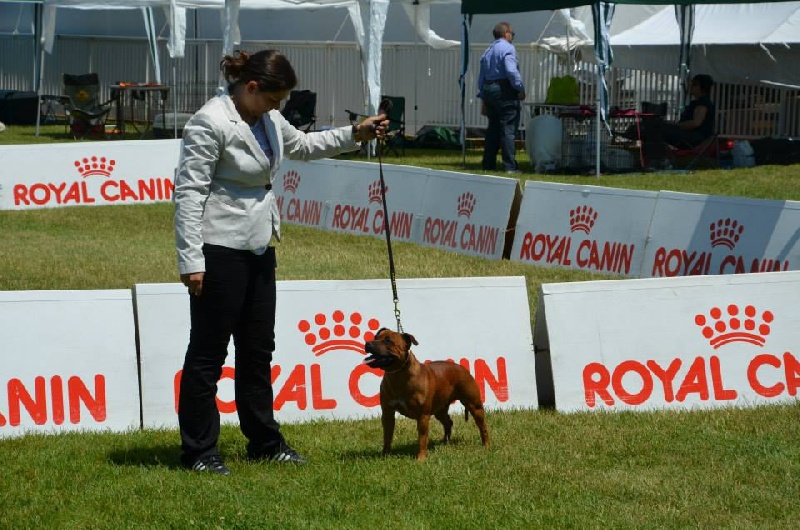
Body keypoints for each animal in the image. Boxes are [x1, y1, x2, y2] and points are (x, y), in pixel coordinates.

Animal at [363, 328, 490, 461]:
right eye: (375, 337)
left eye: (388, 341)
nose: (368, 343)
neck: (398, 375)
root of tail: (462, 368)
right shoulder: (387, 414)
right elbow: (387, 437)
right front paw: (385, 455)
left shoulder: (422, 416)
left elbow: (422, 439)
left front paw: (421, 458)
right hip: (440, 410)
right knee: (448, 422)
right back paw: (445, 442)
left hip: (474, 406)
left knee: (483, 427)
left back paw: (486, 445)